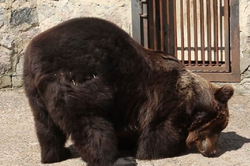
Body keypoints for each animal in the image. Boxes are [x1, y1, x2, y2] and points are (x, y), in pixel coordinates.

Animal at [22, 17, 233, 166]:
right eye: (217, 127)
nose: (213, 152)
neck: (192, 101)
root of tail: (37, 57)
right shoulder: (165, 101)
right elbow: (160, 132)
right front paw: (163, 149)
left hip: (35, 91)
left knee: (45, 125)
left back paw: (55, 155)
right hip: (82, 80)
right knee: (90, 124)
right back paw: (115, 160)